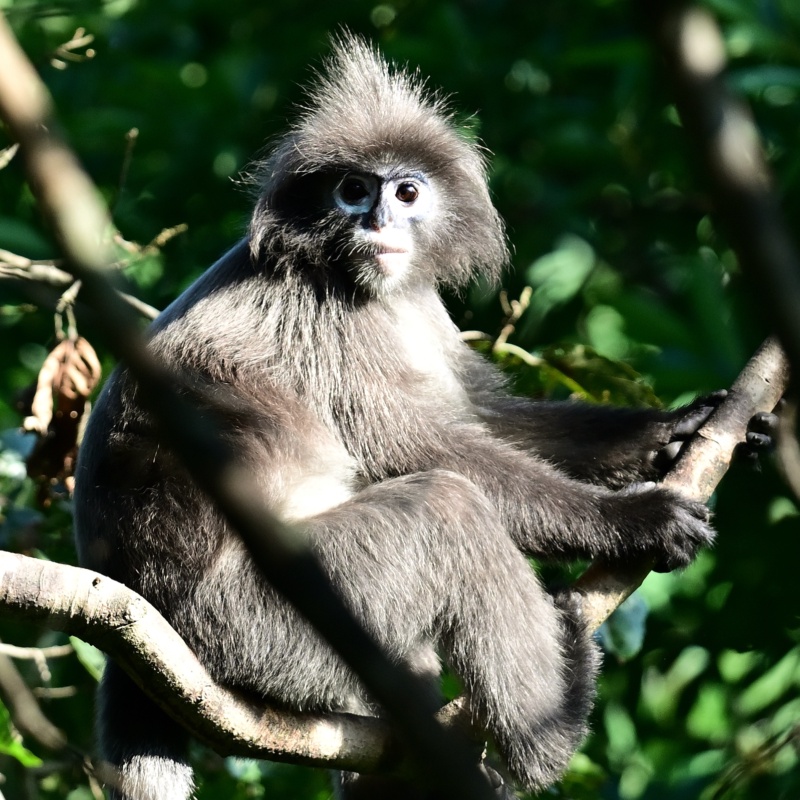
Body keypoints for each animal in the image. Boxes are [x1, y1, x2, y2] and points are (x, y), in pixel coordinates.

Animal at [73, 34, 767, 800]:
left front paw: (680, 428)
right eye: (352, 190)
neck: (361, 282)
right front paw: (633, 520)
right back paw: (547, 736)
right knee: (447, 508)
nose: (375, 220)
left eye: (406, 192)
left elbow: (480, 417)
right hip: (264, 623)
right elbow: (415, 447)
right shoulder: (328, 321)